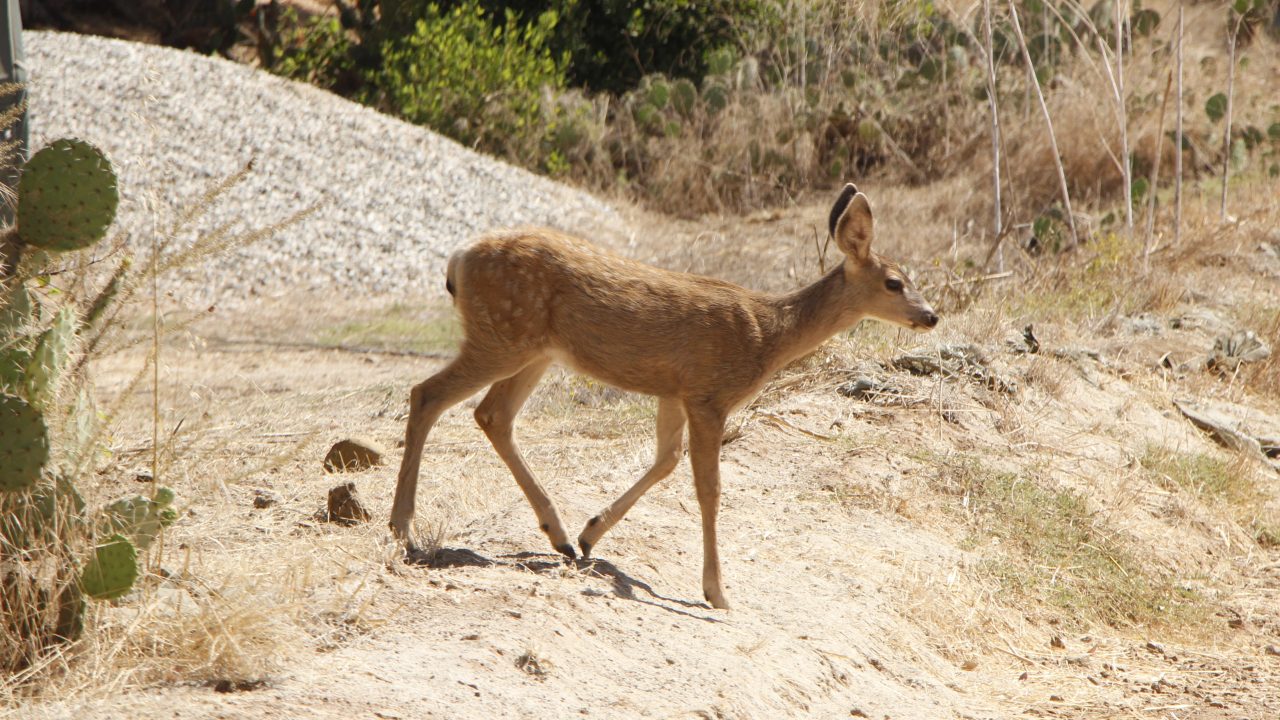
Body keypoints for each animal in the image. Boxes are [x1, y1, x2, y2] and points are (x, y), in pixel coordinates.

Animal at [389, 184, 938, 609]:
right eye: (895, 282)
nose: (931, 315)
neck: (766, 336)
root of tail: (458, 259)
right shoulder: (710, 393)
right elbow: (709, 489)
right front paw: (717, 592)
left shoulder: (675, 391)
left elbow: (666, 460)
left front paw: (592, 533)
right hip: (501, 334)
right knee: (427, 394)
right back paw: (402, 527)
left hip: (535, 349)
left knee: (492, 414)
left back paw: (561, 536)